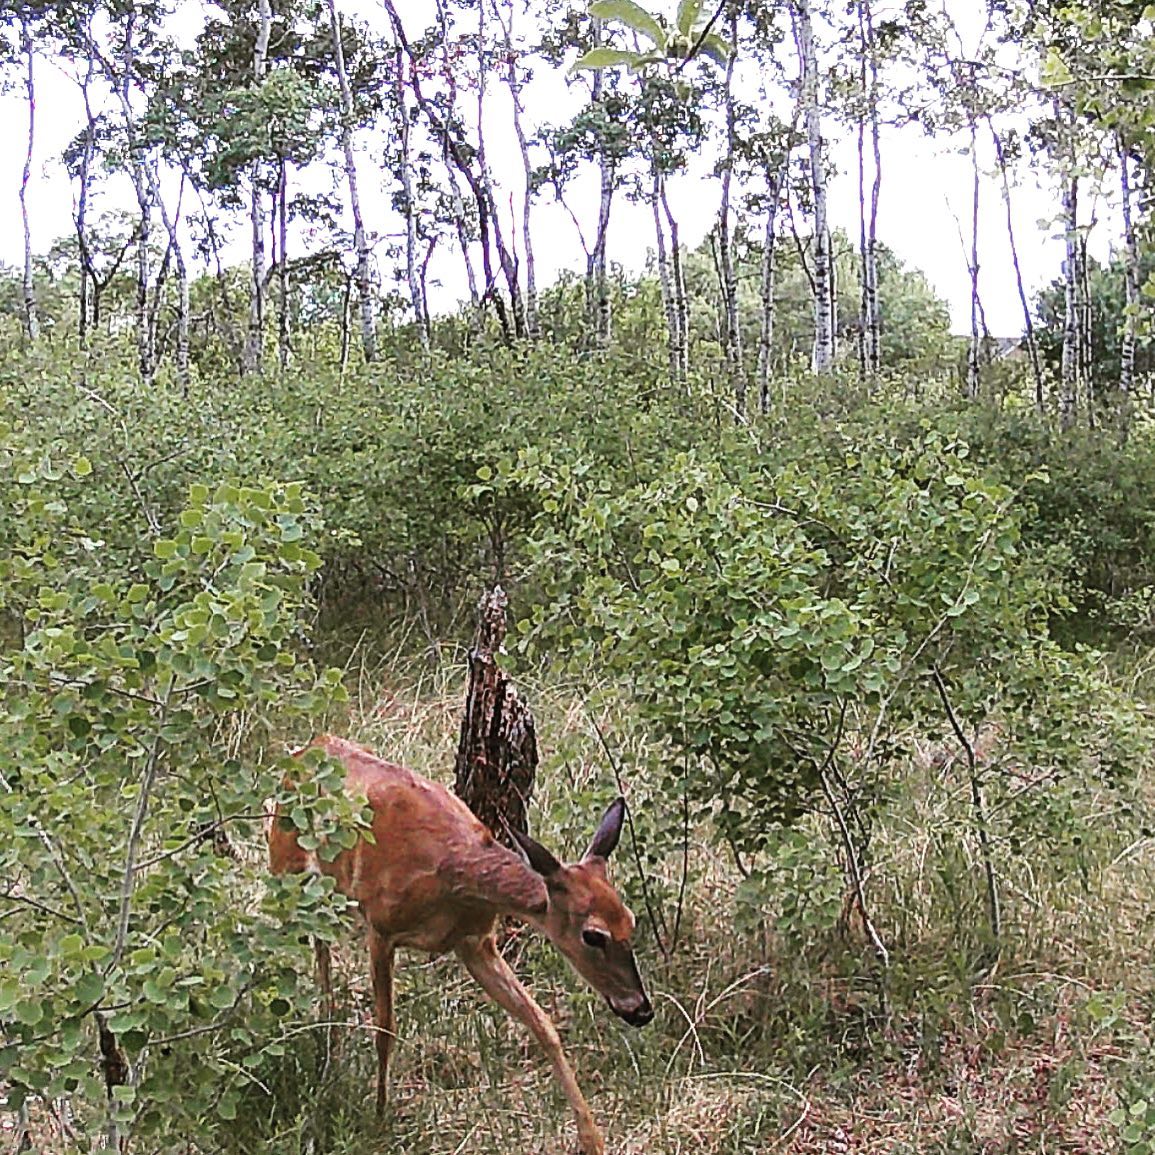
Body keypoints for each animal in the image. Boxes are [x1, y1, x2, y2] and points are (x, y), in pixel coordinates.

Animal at [267, 734, 653, 1155]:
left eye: (630, 920)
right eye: (593, 935)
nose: (641, 1010)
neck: (450, 877)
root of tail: (305, 749)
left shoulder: (476, 943)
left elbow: (543, 1025)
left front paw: (592, 1139)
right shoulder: (381, 928)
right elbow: (385, 1029)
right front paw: (380, 1119)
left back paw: (329, 1038)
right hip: (286, 874)